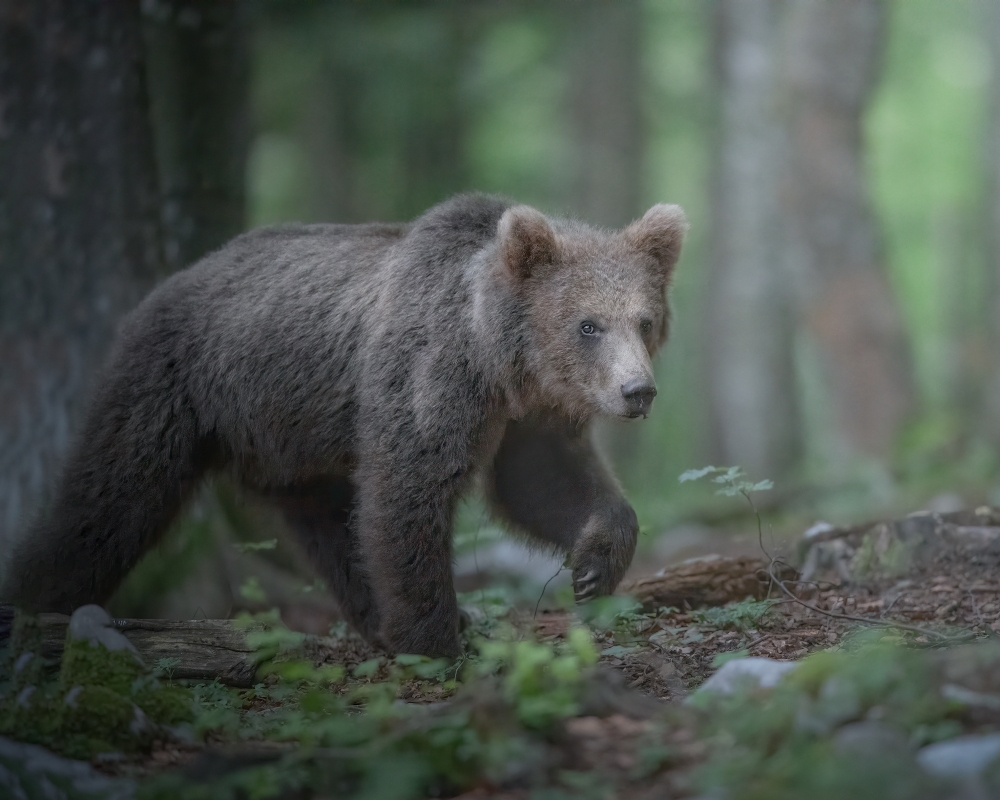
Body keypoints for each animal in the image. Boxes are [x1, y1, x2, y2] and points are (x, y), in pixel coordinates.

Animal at [1, 193, 688, 658]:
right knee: (108, 501)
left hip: (287, 444)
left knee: (333, 523)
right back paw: (37, 602)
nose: (638, 391)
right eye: (588, 325)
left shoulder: (528, 415)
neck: (497, 359)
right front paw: (437, 640)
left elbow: (541, 482)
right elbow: (409, 490)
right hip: (174, 386)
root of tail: (167, 283)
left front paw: (593, 565)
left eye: (645, 319)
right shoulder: (427, 374)